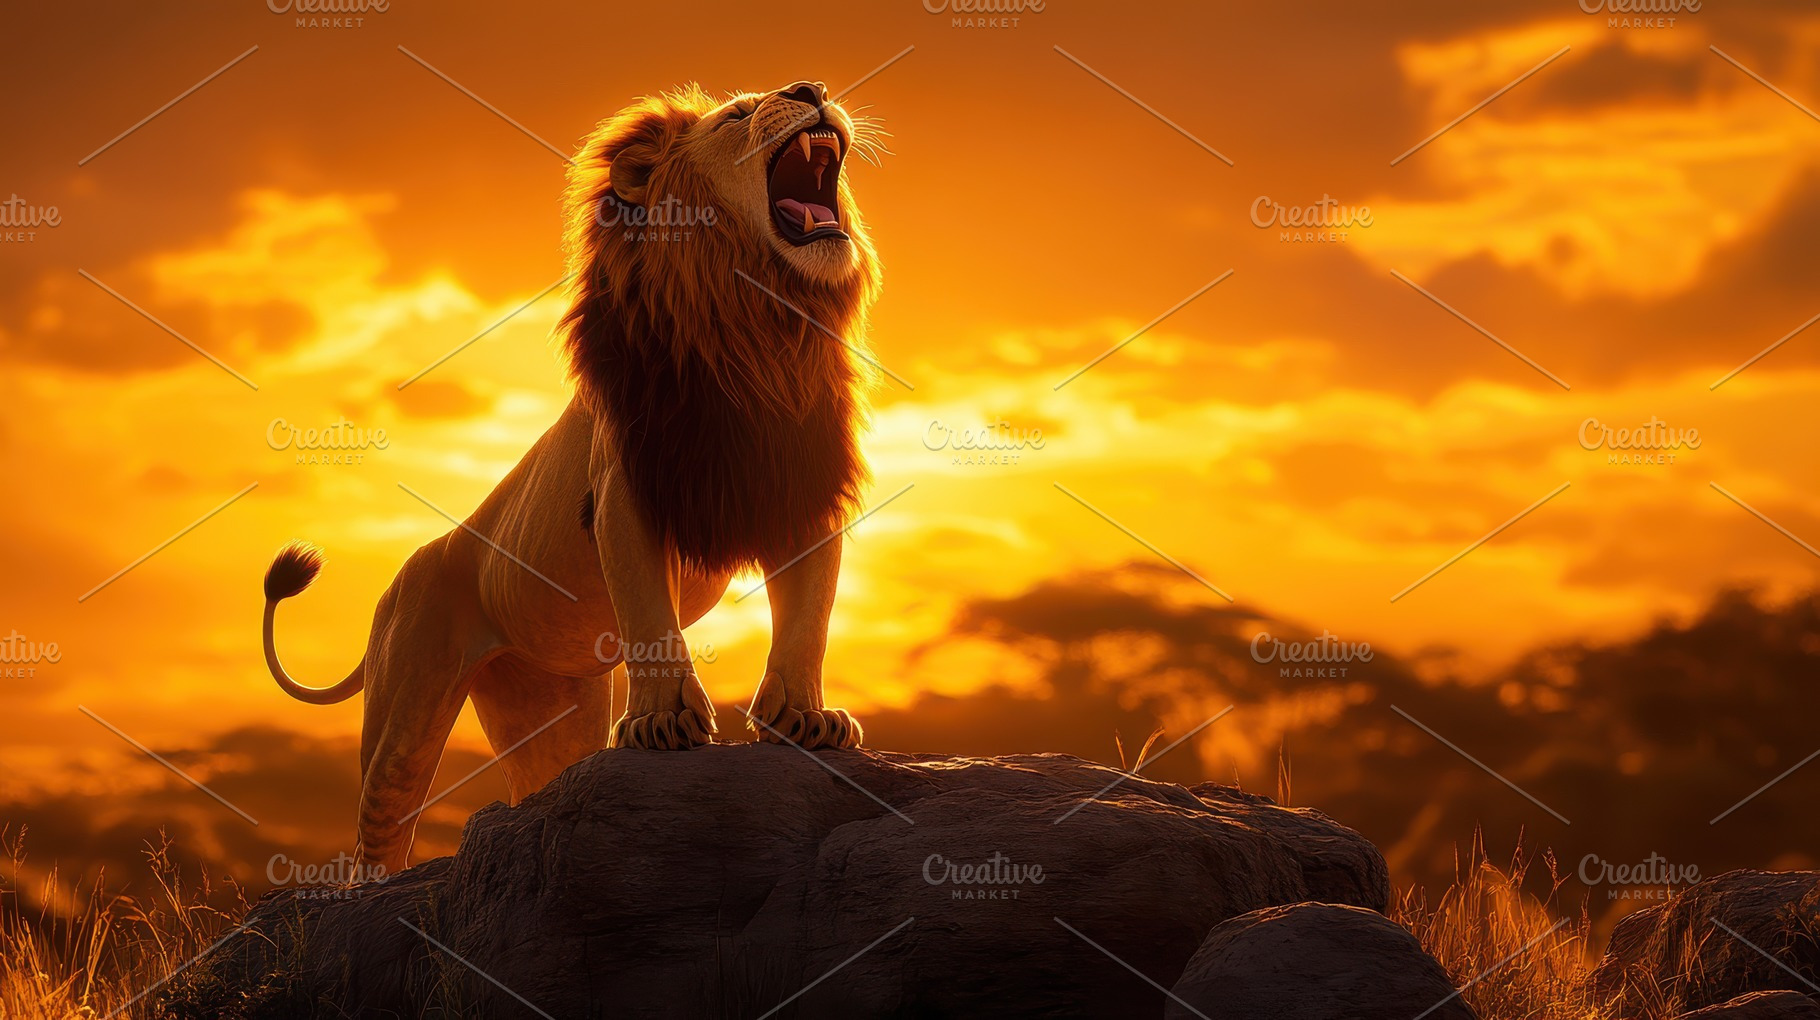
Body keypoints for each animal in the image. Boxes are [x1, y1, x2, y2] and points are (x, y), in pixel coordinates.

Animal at [260, 81, 883, 874]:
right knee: (379, 831)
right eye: (739, 114)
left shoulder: (802, 492)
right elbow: (651, 615)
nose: (812, 91)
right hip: (406, 702)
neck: (760, 328)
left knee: (536, 792)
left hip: (545, 707)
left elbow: (809, 616)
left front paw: (805, 718)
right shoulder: (622, 497)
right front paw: (663, 724)